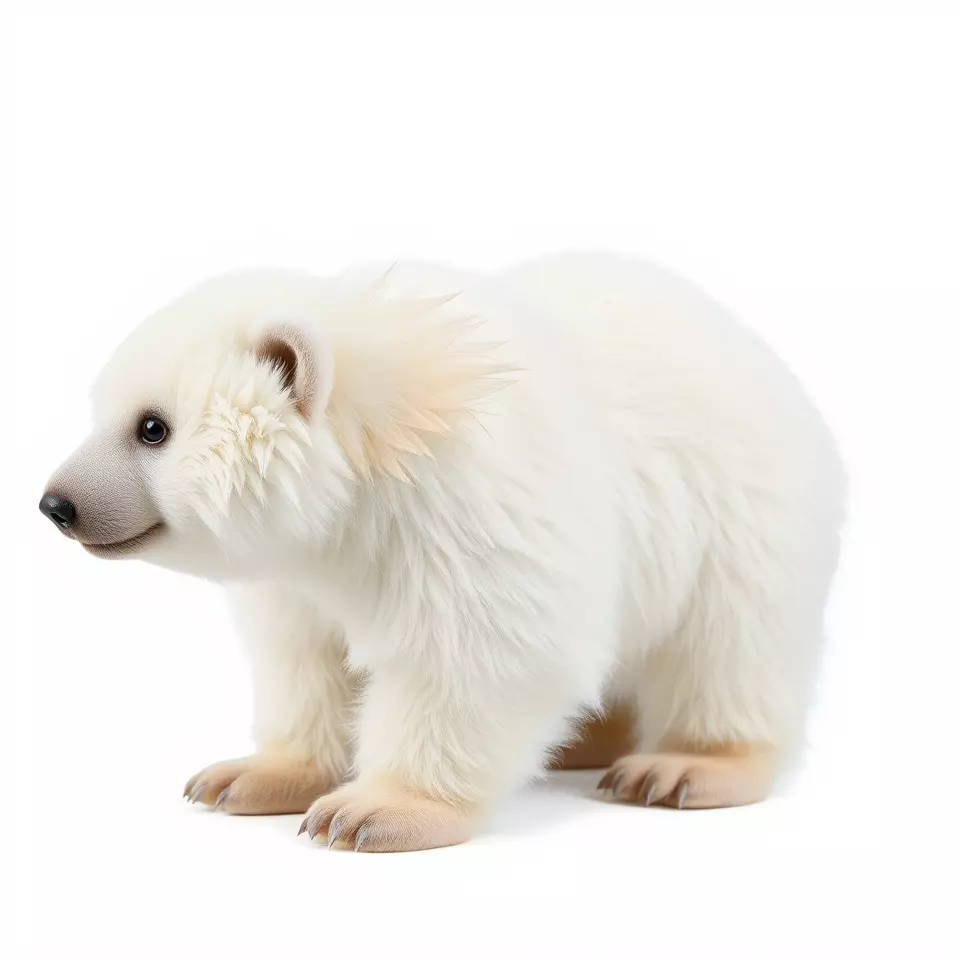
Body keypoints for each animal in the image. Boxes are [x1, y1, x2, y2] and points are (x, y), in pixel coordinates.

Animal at [40, 251, 845, 852]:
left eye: (152, 427)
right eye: (101, 409)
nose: (57, 503)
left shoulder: (469, 515)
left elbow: (475, 656)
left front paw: (371, 811)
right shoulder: (301, 570)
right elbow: (305, 659)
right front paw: (246, 776)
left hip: (739, 514)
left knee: (727, 645)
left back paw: (679, 767)